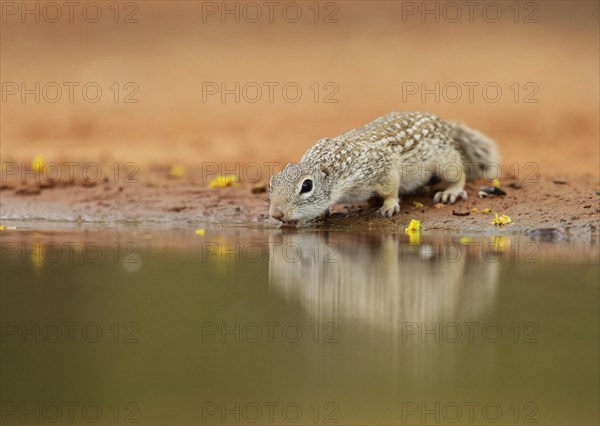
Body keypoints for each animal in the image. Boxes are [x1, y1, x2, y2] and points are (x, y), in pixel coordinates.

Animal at [270, 113, 500, 226]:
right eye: (272, 182)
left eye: (306, 186)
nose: (276, 214)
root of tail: (445, 124)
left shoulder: (380, 166)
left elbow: (391, 188)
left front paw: (388, 206)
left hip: (444, 160)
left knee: (459, 174)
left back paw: (450, 192)